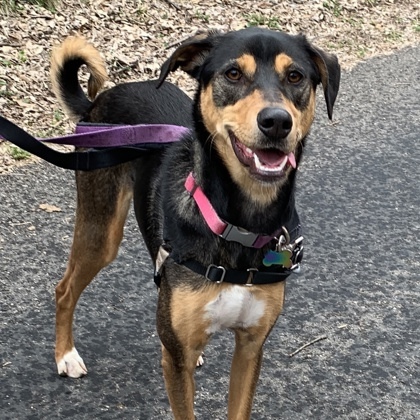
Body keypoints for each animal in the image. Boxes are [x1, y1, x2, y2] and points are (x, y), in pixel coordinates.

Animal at [51, 27, 342, 418]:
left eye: (295, 76)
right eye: (233, 74)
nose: (277, 121)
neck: (239, 223)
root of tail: (99, 102)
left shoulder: (251, 347)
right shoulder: (177, 364)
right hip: (101, 230)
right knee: (65, 288)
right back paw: (65, 355)